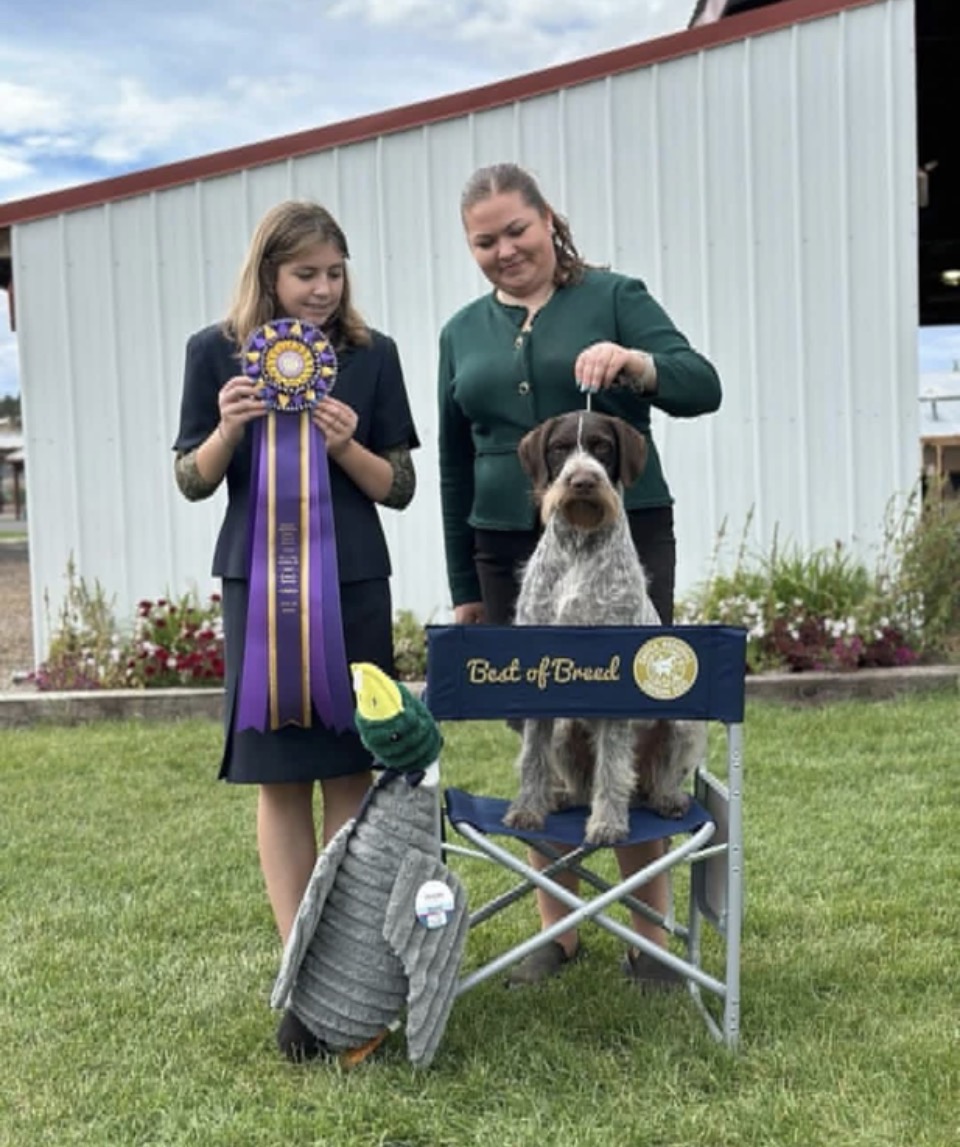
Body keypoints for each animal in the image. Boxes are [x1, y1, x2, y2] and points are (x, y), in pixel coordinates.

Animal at [502, 410, 706, 846]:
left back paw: (667, 799)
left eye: (602, 447)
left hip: (681, 724)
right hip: (564, 729)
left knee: (652, 777)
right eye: (560, 448)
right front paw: (527, 810)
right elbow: (532, 758)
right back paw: (562, 796)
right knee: (583, 782)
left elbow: (612, 768)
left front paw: (607, 824)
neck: (580, 546)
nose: (582, 481)